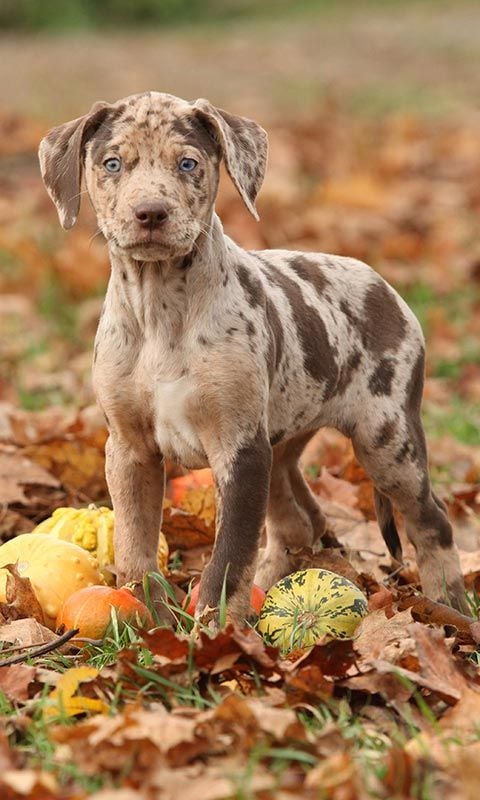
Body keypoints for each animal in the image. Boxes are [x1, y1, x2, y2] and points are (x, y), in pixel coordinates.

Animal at [39, 90, 466, 620]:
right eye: (112, 164)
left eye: (188, 163)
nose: (151, 213)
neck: (161, 311)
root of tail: (383, 284)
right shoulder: (129, 449)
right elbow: (135, 547)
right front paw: (148, 620)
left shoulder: (240, 450)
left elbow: (228, 557)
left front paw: (214, 629)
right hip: (283, 441)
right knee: (300, 520)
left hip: (386, 440)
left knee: (433, 520)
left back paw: (451, 607)